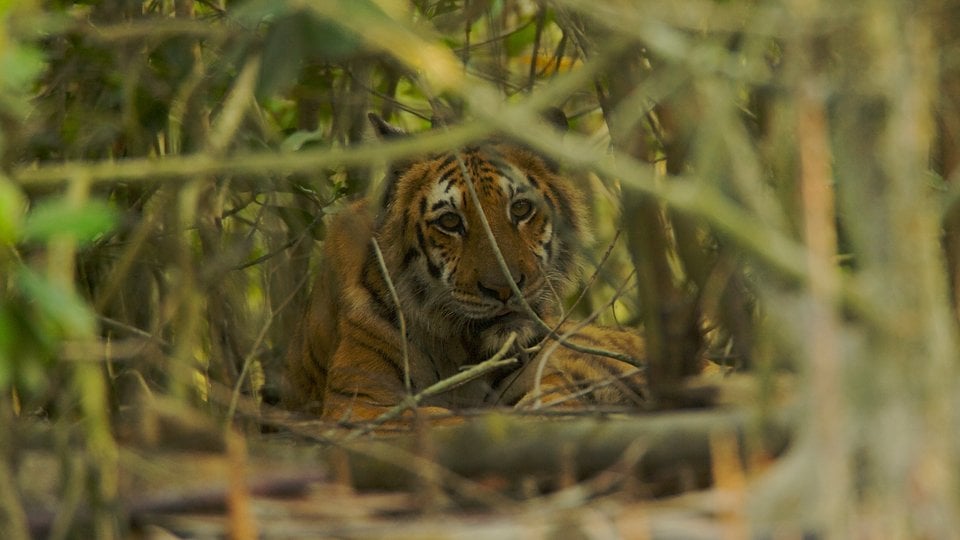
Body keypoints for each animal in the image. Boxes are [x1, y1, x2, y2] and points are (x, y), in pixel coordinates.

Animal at [281, 112, 647, 422]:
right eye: (450, 221)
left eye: (521, 208)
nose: (505, 288)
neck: (460, 349)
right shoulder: (363, 401)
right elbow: (441, 419)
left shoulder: (550, 384)